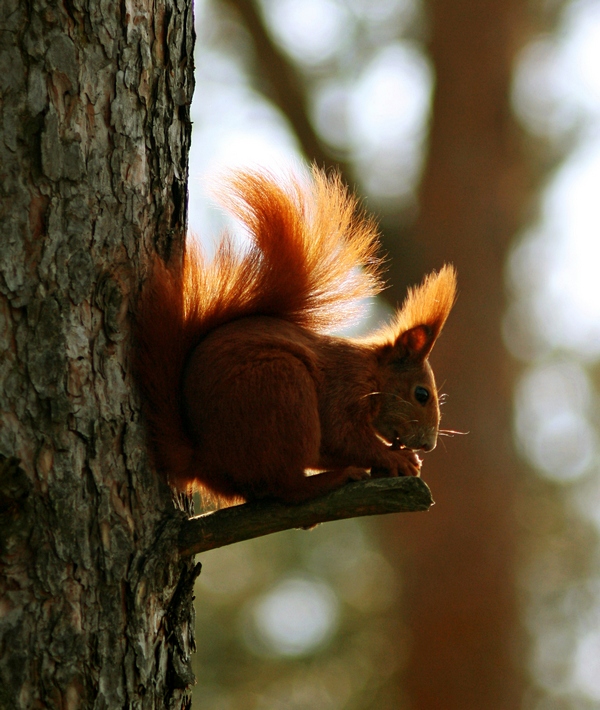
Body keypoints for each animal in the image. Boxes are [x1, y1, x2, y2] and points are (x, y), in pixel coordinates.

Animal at [135, 168, 454, 506]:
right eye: (422, 394)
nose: (428, 445)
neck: (372, 371)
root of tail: (205, 461)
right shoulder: (344, 386)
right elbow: (343, 436)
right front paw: (394, 457)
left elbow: (330, 447)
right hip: (282, 390)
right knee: (285, 486)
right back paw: (330, 479)